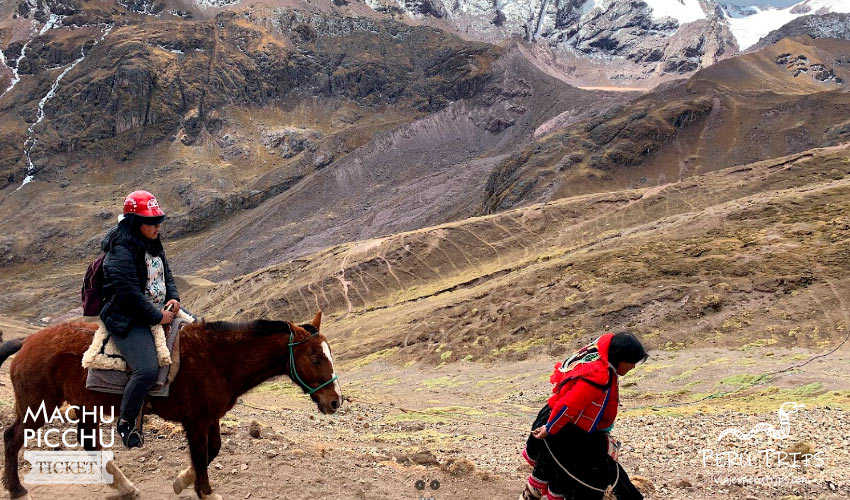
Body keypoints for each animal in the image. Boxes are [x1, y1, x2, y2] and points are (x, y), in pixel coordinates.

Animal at [0, 311, 342, 500]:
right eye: (315, 358)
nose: (335, 401)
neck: (218, 358)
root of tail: (27, 342)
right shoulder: (196, 420)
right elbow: (202, 454)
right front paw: (205, 492)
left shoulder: (210, 417)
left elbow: (213, 449)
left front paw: (182, 482)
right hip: (39, 406)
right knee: (12, 438)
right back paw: (17, 489)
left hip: (85, 405)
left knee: (90, 444)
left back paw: (125, 487)